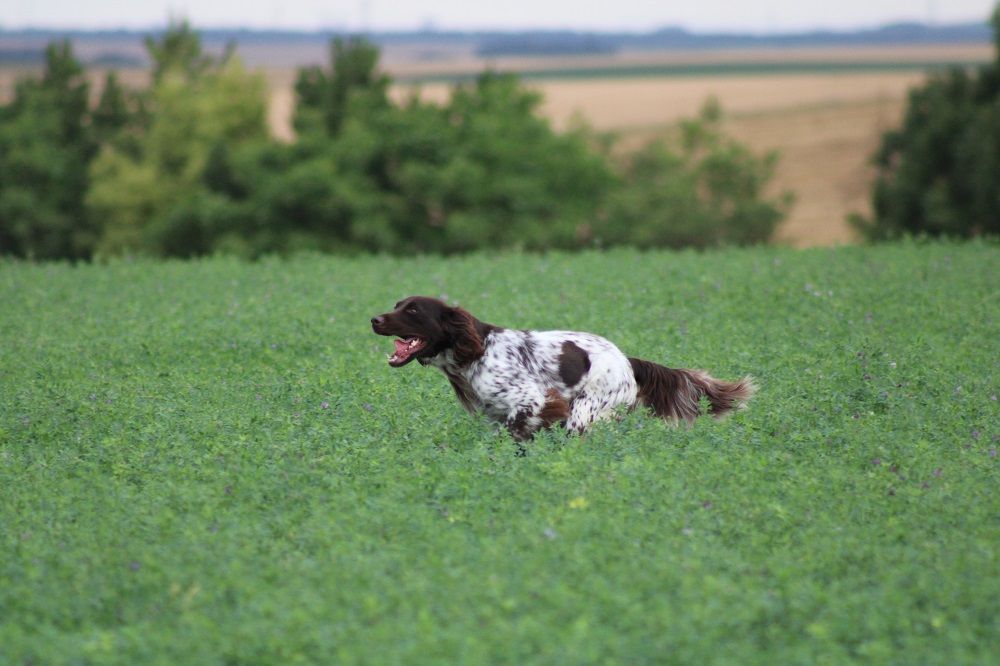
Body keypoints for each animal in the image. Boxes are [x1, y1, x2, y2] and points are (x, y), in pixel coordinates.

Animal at [372, 296, 752, 440]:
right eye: (397, 304)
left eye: (413, 310)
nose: (374, 319)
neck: (473, 354)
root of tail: (627, 360)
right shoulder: (495, 415)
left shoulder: (532, 400)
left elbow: (521, 429)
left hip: (586, 411)